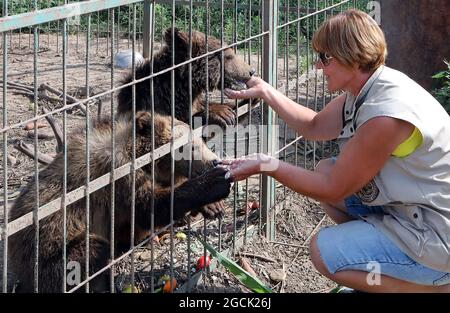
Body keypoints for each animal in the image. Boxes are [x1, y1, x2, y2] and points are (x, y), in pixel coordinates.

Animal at [7, 112, 230, 292]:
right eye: (187, 147)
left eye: (201, 140)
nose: (214, 161)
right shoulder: (117, 177)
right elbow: (149, 207)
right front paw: (214, 183)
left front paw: (212, 205)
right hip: (49, 251)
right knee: (89, 254)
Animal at [117, 27, 256, 128]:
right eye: (228, 56)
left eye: (231, 52)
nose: (251, 71)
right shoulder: (156, 103)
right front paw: (221, 113)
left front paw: (250, 98)